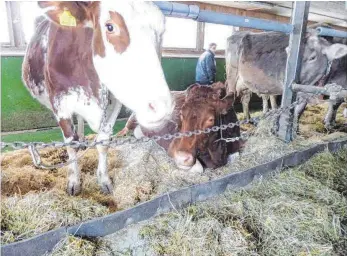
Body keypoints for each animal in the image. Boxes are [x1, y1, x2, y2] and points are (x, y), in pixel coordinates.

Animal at [22, 1, 172, 194]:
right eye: (110, 26)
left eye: (162, 31)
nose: (162, 107)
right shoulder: (60, 102)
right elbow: (70, 144)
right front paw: (74, 181)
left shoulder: (114, 102)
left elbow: (103, 142)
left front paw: (104, 180)